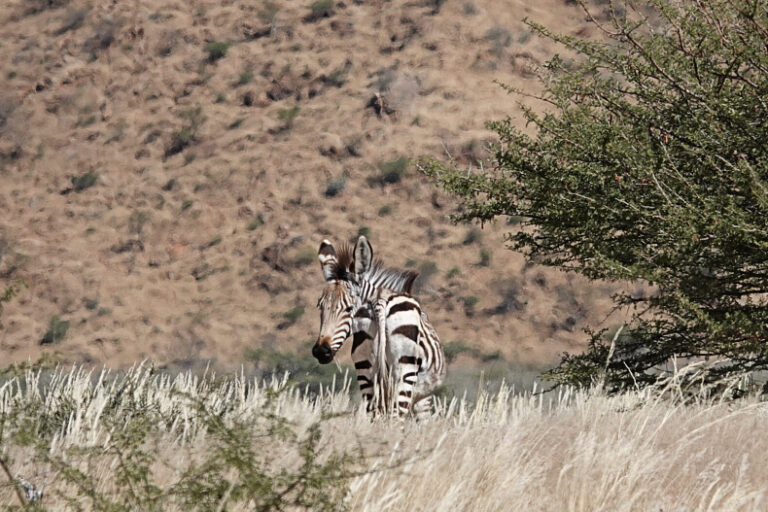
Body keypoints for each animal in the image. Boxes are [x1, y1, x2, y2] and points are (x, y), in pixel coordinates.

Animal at [310, 236, 444, 416]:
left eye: (349, 308)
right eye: (321, 307)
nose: (321, 351)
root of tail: (380, 302)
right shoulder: (423, 399)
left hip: (366, 371)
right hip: (403, 372)